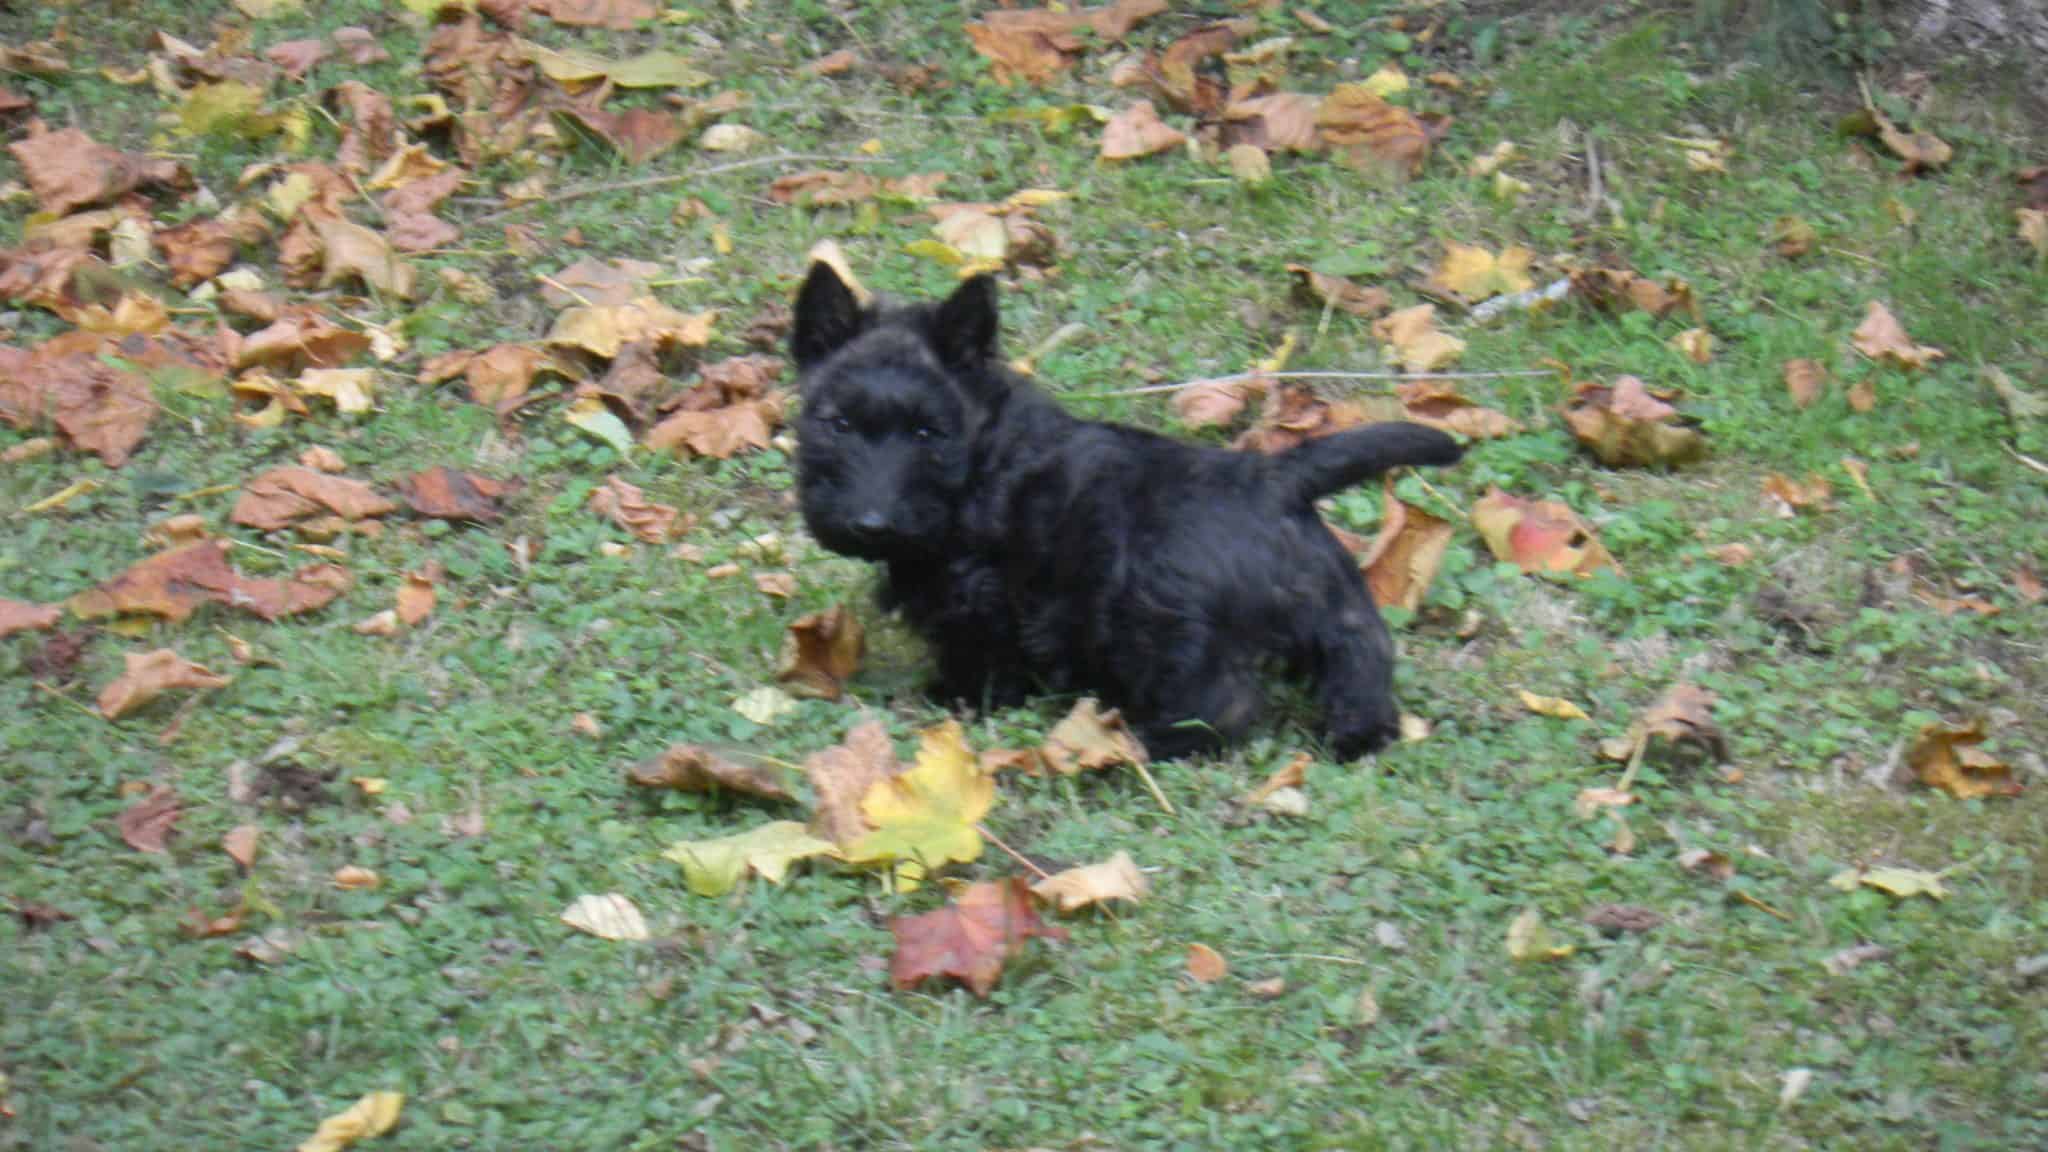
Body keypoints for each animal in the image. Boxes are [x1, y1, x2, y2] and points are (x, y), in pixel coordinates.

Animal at [790, 263, 1463, 760]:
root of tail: (1274, 478)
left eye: (927, 432)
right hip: (1333, 604)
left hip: (1164, 621)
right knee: (1361, 658)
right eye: (838, 423)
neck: (984, 457)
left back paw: (1148, 741)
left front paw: (953, 700)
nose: (870, 523)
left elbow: (980, 655)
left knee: (1222, 705)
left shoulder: (980, 598)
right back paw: (1356, 737)